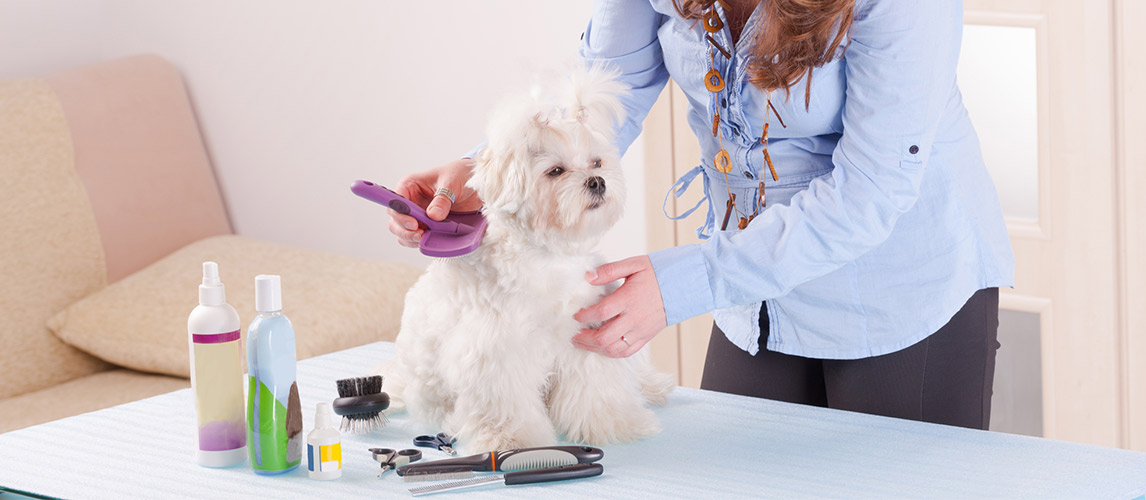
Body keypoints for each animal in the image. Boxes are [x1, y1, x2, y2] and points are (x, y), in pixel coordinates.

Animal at [380, 66, 673, 454]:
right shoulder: (497, 357)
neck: (550, 259)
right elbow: (506, 405)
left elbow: (595, 391)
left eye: (596, 162)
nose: (597, 181)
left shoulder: (588, 338)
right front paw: (514, 442)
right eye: (555, 171)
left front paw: (613, 422)